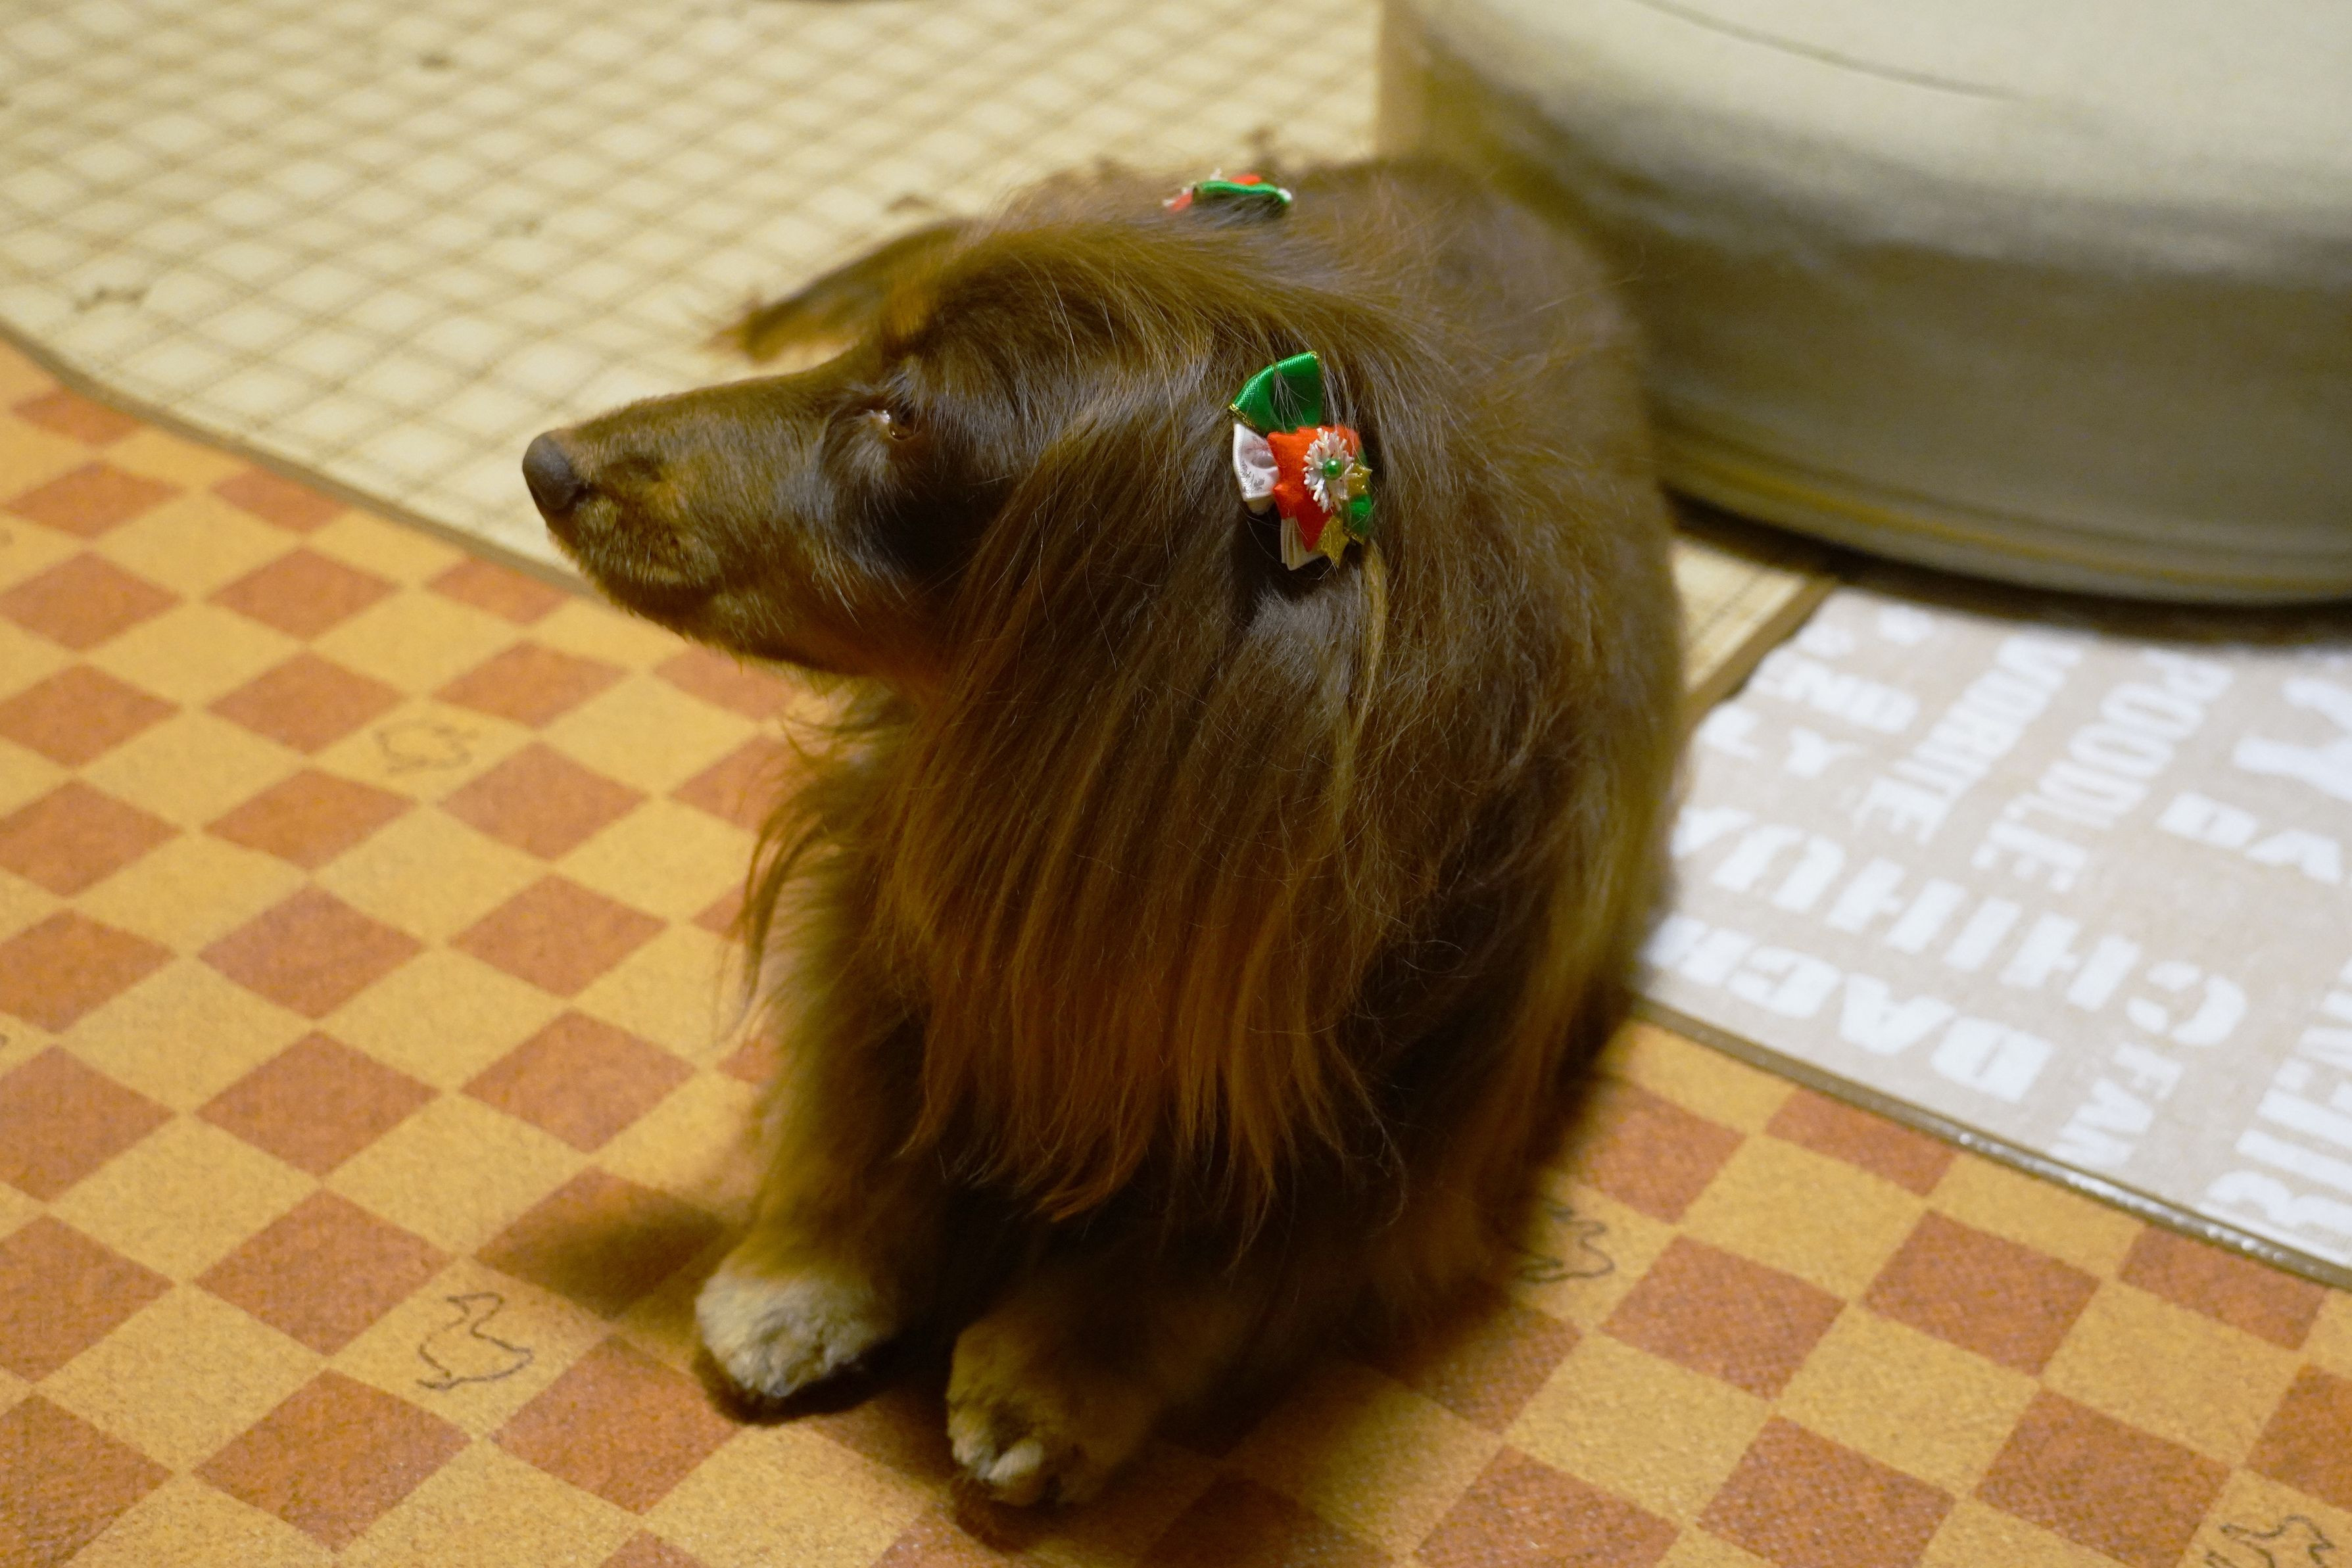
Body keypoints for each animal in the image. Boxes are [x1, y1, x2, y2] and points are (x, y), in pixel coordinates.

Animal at [521, 158, 1682, 1505]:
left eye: (900, 419)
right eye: (865, 362)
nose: (546, 462)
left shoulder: (1383, 1120)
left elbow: (1210, 1246)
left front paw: (1053, 1368)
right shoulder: (913, 877)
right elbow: (867, 1085)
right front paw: (803, 1271)